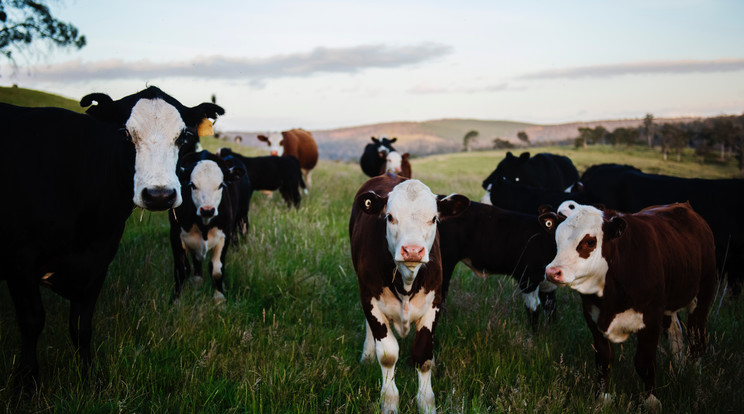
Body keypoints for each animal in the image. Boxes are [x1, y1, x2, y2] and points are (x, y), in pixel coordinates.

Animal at [0, 85, 224, 390]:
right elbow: (32, 321)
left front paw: (88, 378)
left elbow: (81, 326)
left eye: (185, 136)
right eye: (124, 134)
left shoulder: (98, 261)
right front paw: (27, 382)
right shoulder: (20, 259)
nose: (159, 195)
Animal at [169, 151, 248, 304]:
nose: (207, 210)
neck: (204, 225)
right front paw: (176, 300)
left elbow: (217, 269)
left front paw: (219, 298)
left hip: (242, 216)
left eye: (221, 185)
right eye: (192, 185)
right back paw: (197, 282)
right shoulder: (175, 235)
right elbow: (181, 269)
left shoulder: (225, 235)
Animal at [350, 174, 468, 414]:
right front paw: (389, 402)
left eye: (434, 219)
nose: (412, 250)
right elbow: (387, 355)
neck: (406, 281)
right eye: (390, 217)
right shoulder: (369, 297)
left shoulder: (434, 303)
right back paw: (367, 355)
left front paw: (426, 404)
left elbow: (422, 353)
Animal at [436, 201, 560, 330]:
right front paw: (533, 334)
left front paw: (551, 331)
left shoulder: (548, 285)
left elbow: (551, 308)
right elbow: (533, 309)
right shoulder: (527, 278)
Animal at [536, 202, 716, 410]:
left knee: (697, 338)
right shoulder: (592, 316)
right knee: (676, 335)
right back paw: (678, 369)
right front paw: (603, 398)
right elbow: (604, 358)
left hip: (703, 294)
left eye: (589, 242)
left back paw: (694, 376)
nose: (552, 272)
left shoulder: (651, 317)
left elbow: (644, 362)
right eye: (557, 239)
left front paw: (651, 401)